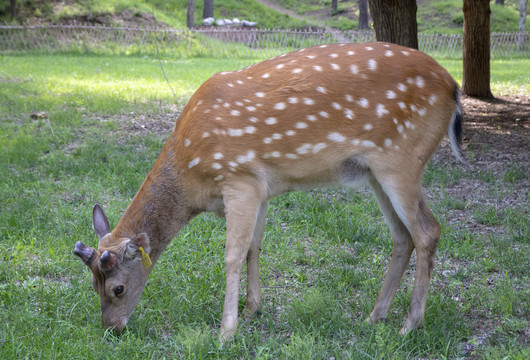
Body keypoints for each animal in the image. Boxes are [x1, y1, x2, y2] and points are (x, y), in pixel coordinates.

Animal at [73, 41, 462, 338]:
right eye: (91, 285)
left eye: (118, 287)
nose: (111, 328)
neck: (192, 176)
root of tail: (453, 88)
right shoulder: (260, 187)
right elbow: (254, 247)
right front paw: (252, 311)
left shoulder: (238, 177)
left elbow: (232, 254)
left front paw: (226, 331)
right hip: (374, 173)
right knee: (402, 236)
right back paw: (375, 316)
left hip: (402, 159)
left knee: (428, 231)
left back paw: (410, 325)